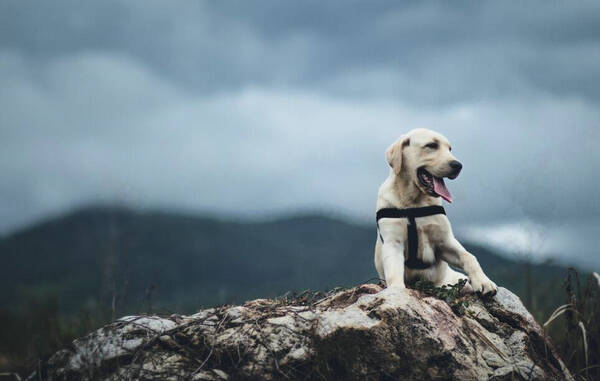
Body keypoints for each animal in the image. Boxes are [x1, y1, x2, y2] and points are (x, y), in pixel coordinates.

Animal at [376, 127, 496, 294]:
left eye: (450, 149)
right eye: (431, 145)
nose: (458, 165)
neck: (414, 203)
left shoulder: (444, 241)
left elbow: (468, 256)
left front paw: (484, 281)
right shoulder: (393, 242)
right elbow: (394, 271)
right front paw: (397, 290)